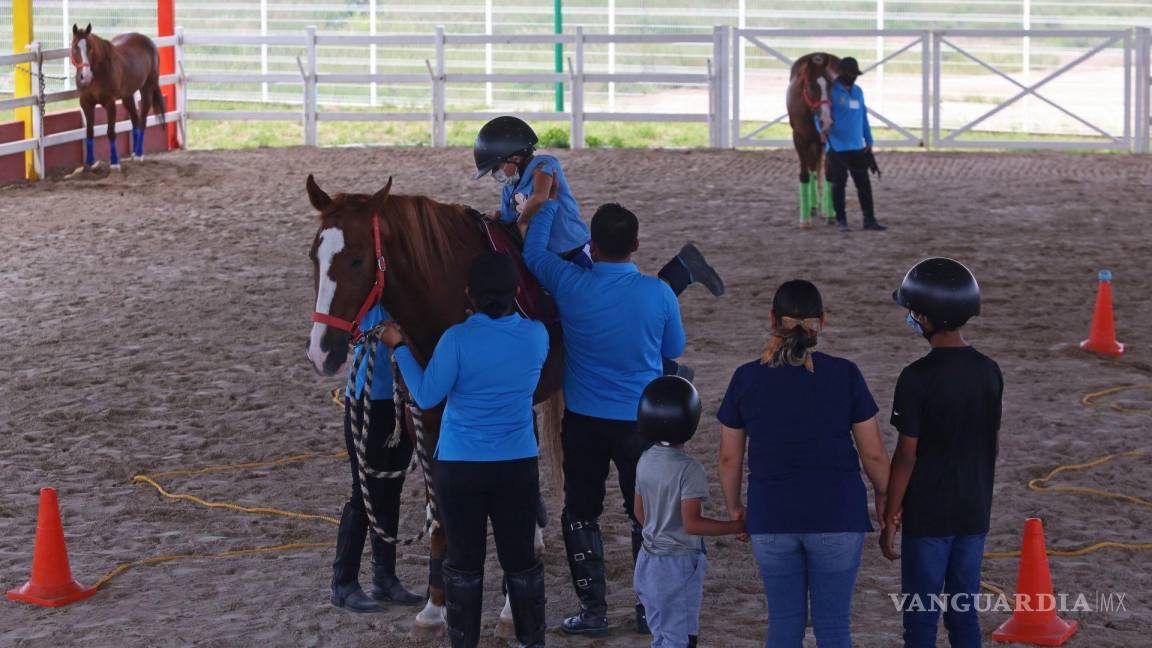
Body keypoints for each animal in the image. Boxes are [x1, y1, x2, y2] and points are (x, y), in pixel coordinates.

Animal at [69, 23, 167, 171]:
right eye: (75, 46)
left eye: (90, 48)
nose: (85, 76)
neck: (99, 72)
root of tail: (149, 42)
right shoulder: (86, 104)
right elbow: (89, 131)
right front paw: (90, 163)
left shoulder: (110, 103)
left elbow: (111, 132)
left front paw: (115, 162)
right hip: (127, 96)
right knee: (135, 119)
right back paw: (134, 152)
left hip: (147, 89)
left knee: (142, 121)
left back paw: (139, 154)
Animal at [301, 174, 562, 631]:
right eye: (316, 255)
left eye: (357, 261)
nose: (321, 351)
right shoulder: (427, 418)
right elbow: (439, 513)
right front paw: (436, 606)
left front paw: (510, 608)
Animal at [787, 52, 843, 227]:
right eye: (811, 86)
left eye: (831, 85)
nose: (827, 120)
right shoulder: (799, 139)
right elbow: (805, 174)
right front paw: (804, 219)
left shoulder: (827, 141)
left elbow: (830, 174)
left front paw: (831, 214)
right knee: (812, 168)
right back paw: (812, 207)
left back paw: (823, 209)